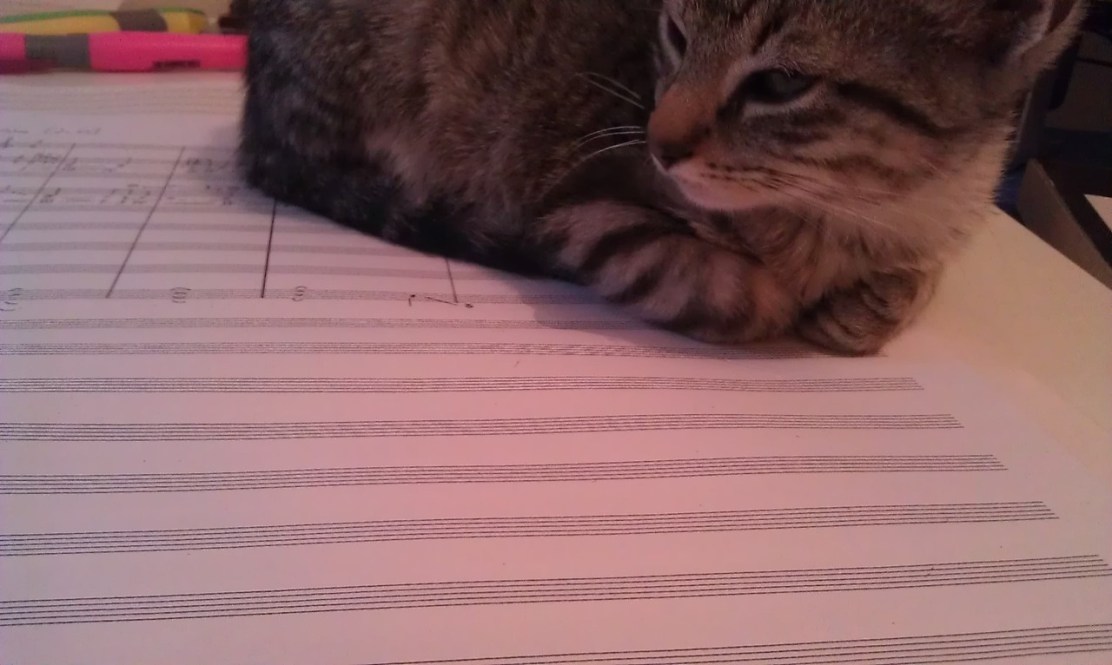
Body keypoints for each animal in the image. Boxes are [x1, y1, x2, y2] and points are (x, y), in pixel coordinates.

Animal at [236, 0, 1084, 355]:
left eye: (781, 84)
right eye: (676, 34)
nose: (657, 140)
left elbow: (920, 275)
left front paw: (872, 303)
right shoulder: (578, 201)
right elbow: (729, 289)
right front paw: (782, 296)